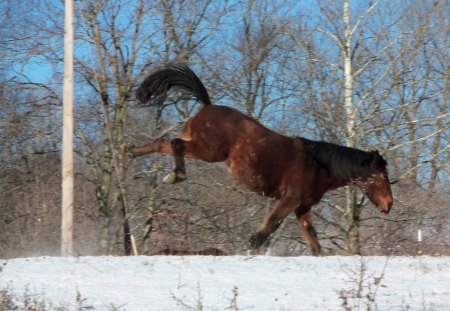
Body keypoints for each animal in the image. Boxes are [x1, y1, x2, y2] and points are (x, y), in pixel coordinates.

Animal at [126, 63, 394, 256]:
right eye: (382, 175)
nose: (389, 204)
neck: (317, 164)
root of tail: (207, 106)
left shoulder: (302, 208)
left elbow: (313, 240)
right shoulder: (289, 199)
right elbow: (270, 226)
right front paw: (251, 247)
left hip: (200, 147)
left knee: (162, 143)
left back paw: (130, 152)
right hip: (208, 151)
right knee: (175, 144)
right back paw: (176, 175)